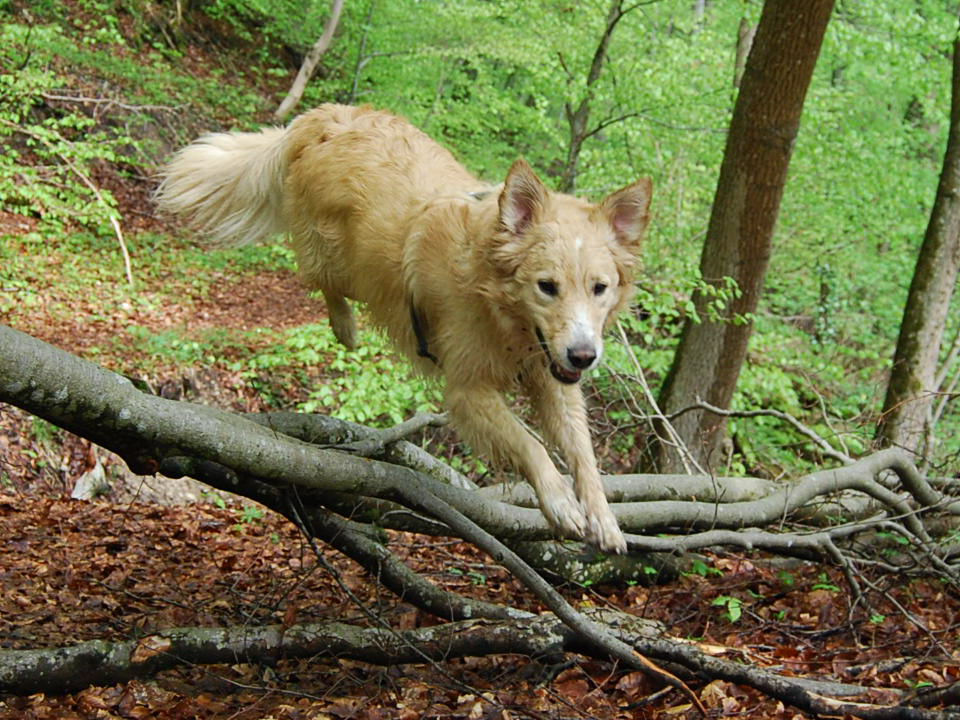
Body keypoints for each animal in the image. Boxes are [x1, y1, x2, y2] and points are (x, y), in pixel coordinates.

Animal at [158, 104, 652, 552]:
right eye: (546, 287)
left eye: (600, 288)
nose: (583, 357)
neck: (499, 310)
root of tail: (321, 117)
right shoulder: (468, 391)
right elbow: (529, 442)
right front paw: (560, 502)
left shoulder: (552, 381)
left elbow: (582, 452)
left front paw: (603, 518)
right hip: (344, 263)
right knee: (322, 282)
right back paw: (345, 328)